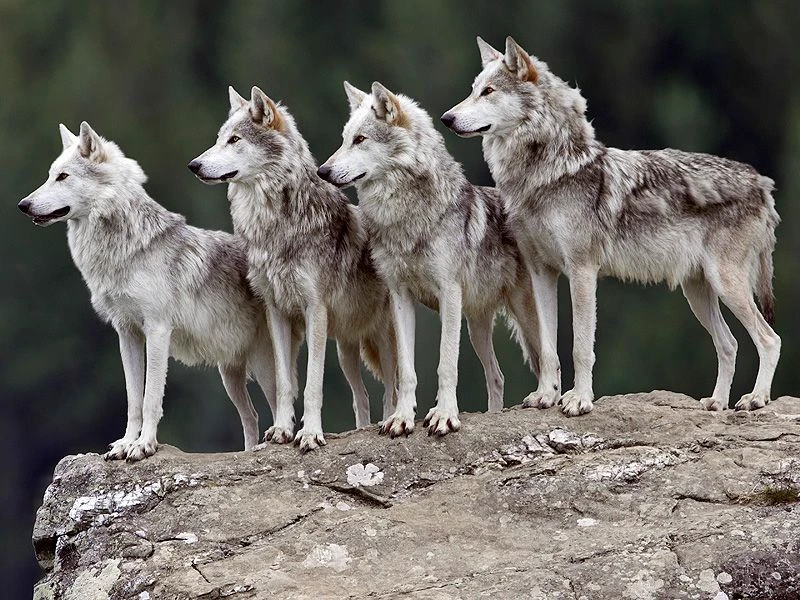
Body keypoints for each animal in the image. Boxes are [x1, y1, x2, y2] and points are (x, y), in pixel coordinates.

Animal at [17, 122, 276, 461]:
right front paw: (126, 443)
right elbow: (133, 399)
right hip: (229, 375)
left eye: (63, 176)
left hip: (264, 367)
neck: (124, 251)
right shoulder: (127, 333)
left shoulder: (157, 330)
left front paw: (144, 445)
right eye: (50, 175)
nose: (23, 205)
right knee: (252, 417)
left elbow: (151, 396)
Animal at [188, 86, 396, 451]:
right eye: (218, 139)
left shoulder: (315, 311)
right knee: (362, 396)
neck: (275, 226)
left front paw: (310, 433)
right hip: (346, 349)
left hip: (380, 337)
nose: (194, 165)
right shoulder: (277, 311)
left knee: (392, 388)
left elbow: (312, 384)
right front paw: (282, 430)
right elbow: (286, 384)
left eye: (234, 140)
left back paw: (393, 422)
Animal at [318, 81, 547, 437]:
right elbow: (407, 370)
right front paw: (401, 418)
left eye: (360, 139)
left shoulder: (449, 294)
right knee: (496, 375)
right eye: (344, 139)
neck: (406, 219)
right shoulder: (400, 298)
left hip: (523, 313)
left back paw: (548, 397)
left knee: (549, 359)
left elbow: (446, 364)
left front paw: (444, 416)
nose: (323, 171)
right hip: (477, 327)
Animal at [442, 36, 781, 415]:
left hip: (726, 285)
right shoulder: (541, 272)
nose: (446, 118)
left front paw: (579, 400)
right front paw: (546, 396)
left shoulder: (582, 271)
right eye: (473, 90)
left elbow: (580, 347)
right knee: (730, 344)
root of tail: (761, 183)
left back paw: (755, 399)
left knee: (770, 339)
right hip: (698, 291)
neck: (546, 175)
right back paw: (717, 403)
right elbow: (547, 348)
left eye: (488, 91)